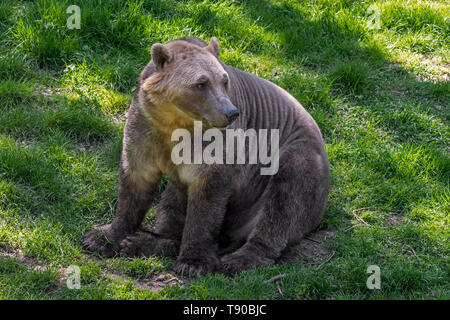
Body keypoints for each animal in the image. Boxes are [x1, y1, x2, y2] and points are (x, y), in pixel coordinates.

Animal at [83, 35, 330, 276]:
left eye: (224, 80)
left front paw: (194, 262)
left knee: (284, 202)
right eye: (201, 83)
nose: (231, 113)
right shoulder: (145, 126)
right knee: (171, 204)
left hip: (294, 156)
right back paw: (142, 243)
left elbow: (207, 200)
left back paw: (240, 259)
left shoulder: (214, 147)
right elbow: (135, 180)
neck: (174, 121)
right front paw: (101, 238)